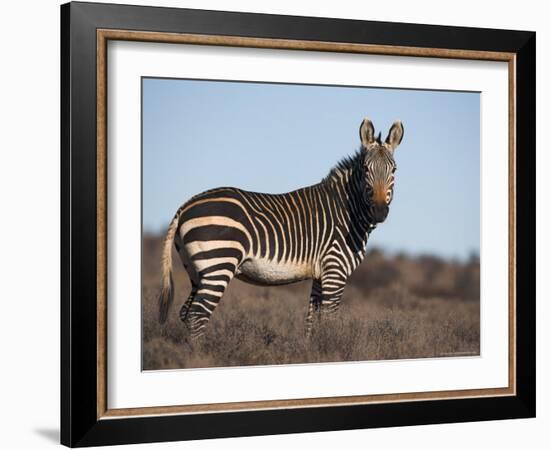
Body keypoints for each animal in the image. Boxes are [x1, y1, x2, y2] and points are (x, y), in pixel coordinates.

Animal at [158, 118, 406, 336]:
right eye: (365, 169)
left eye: (394, 170)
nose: (379, 211)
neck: (347, 211)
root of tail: (186, 205)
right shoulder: (335, 270)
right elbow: (329, 320)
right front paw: (332, 347)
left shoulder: (320, 274)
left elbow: (311, 321)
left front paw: (313, 351)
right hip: (219, 263)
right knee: (197, 316)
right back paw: (202, 354)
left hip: (197, 271)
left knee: (186, 313)